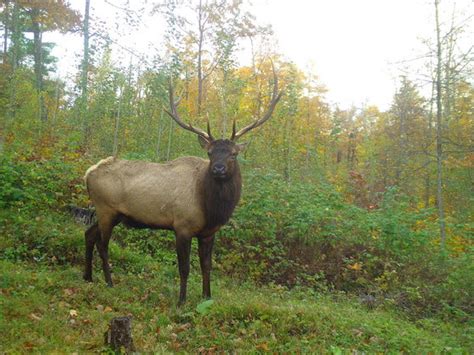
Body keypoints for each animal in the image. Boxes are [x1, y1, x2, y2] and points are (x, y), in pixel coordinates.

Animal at [83, 71, 282, 304]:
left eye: (233, 154)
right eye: (210, 153)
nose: (218, 168)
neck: (211, 209)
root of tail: (88, 174)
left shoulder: (208, 233)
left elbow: (206, 266)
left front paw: (206, 297)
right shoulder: (182, 226)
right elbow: (184, 268)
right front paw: (181, 301)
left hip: (111, 214)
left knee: (89, 234)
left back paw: (87, 277)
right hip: (106, 209)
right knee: (102, 244)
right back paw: (109, 282)